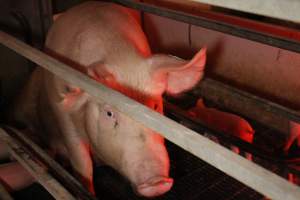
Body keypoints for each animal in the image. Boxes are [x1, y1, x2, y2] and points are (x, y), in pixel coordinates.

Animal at [2, 1, 207, 198]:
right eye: (109, 113)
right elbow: (82, 163)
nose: (157, 181)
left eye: (155, 106)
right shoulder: (62, 113)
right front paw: (88, 189)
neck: (118, 56)